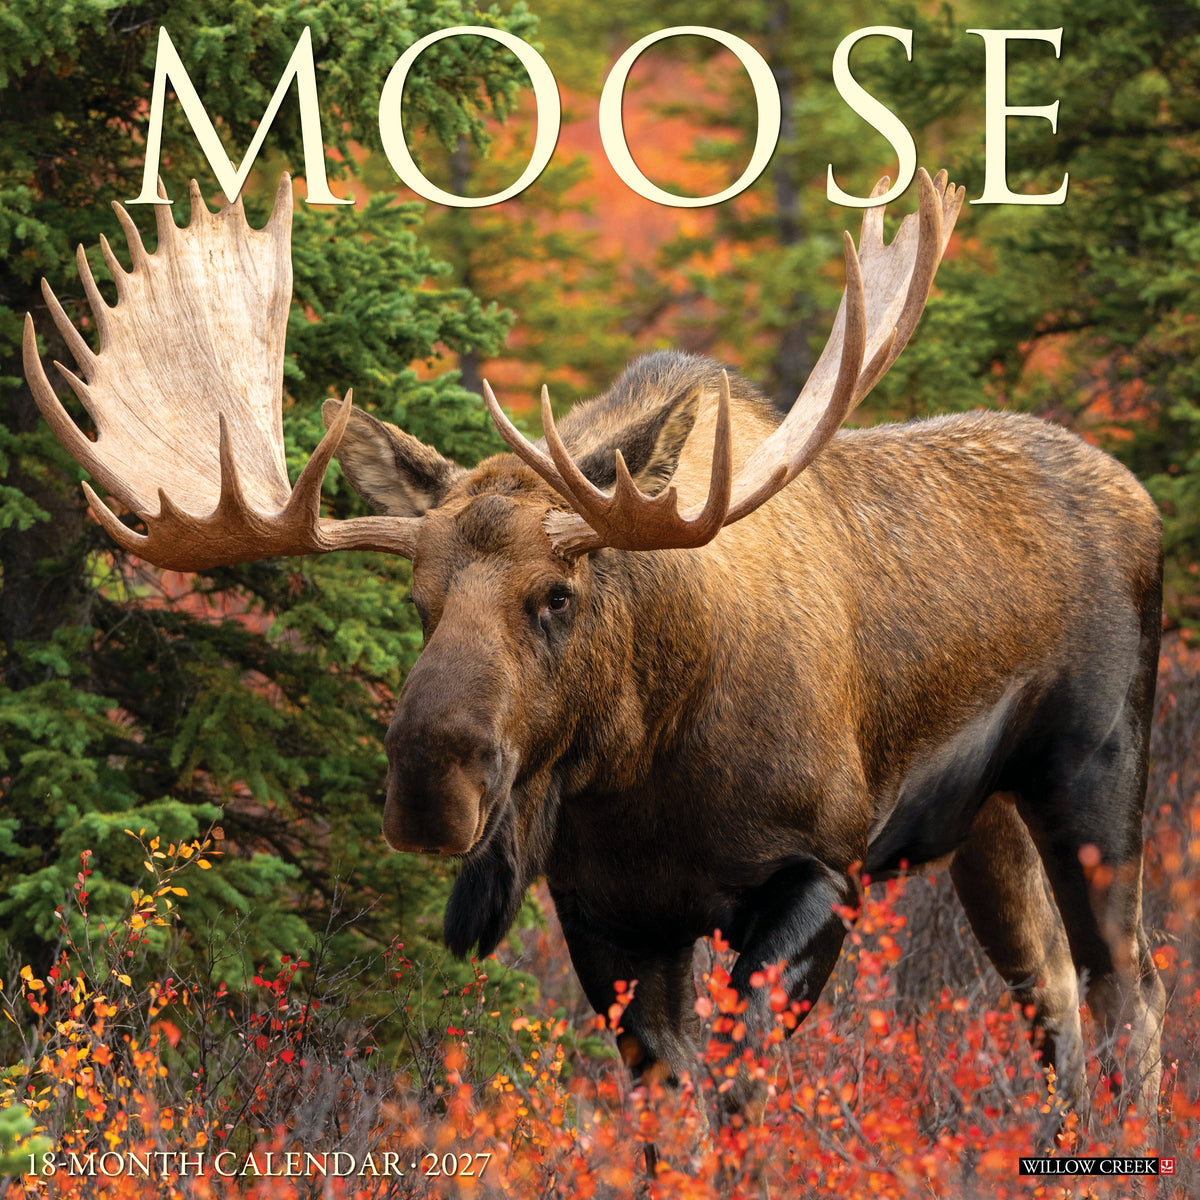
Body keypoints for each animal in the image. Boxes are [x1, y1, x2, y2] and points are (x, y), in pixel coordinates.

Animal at [25, 169, 1166, 1123]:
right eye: (418, 599)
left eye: (557, 595)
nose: (431, 782)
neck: (643, 767)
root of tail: (1140, 496)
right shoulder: (609, 917)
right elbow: (667, 1113)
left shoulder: (819, 870)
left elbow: (739, 1097)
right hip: (986, 822)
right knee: (1051, 989)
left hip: (1096, 776)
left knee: (1132, 987)